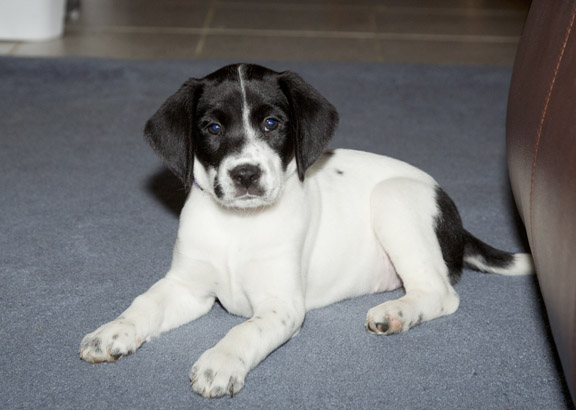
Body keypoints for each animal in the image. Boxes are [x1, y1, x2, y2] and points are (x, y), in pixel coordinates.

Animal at [79, 63, 532, 398]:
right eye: (212, 128)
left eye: (272, 123)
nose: (246, 174)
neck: (238, 227)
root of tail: (455, 217)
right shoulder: (187, 288)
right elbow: (145, 303)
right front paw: (113, 331)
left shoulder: (281, 306)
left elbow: (243, 329)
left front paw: (220, 362)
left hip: (393, 202)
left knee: (440, 293)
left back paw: (396, 313)